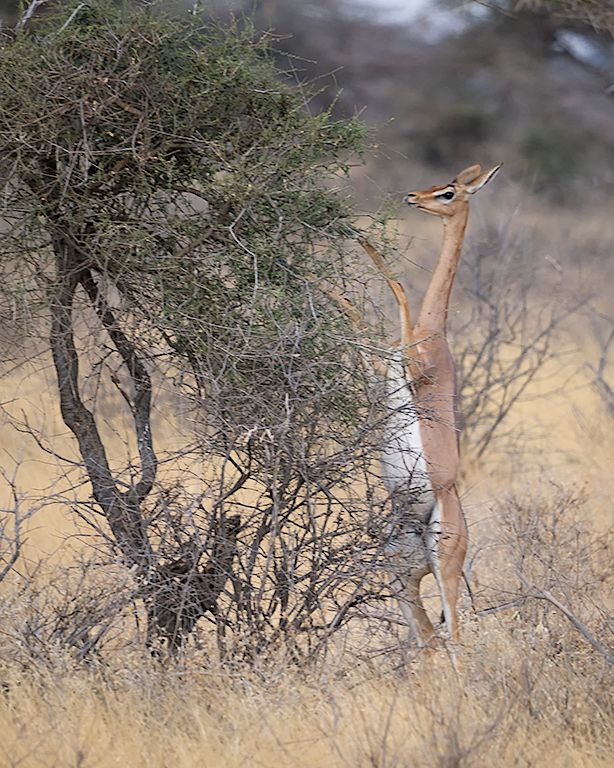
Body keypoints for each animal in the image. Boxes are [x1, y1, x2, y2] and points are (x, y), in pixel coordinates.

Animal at [351, 164, 501, 646]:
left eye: (449, 192)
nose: (412, 196)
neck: (432, 332)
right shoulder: (378, 366)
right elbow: (359, 323)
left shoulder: (412, 370)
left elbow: (398, 287)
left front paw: (362, 239)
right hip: (401, 575)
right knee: (429, 641)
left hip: (444, 571)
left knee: (453, 638)